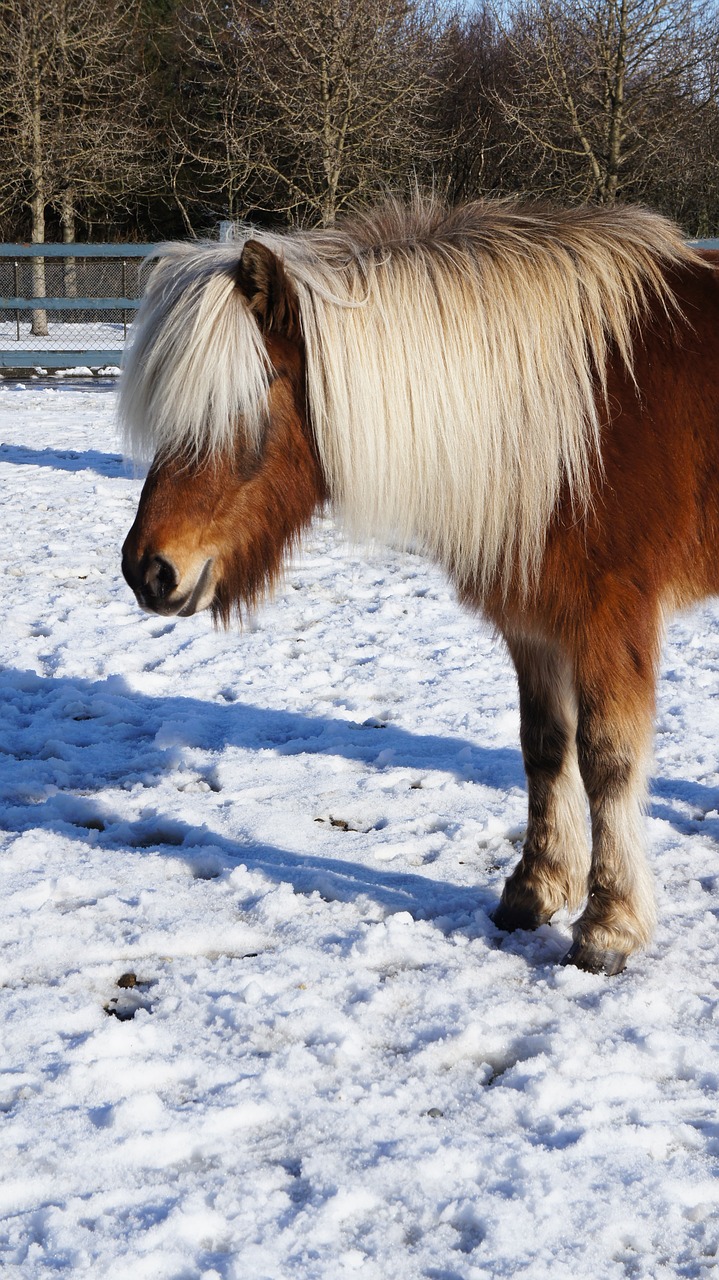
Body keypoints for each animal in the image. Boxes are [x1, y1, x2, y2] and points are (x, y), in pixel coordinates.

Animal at [117, 197, 716, 977]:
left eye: (253, 390)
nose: (148, 570)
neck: (577, 415)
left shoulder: (609, 618)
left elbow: (606, 759)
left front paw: (608, 926)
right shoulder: (535, 622)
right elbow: (544, 746)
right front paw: (534, 890)